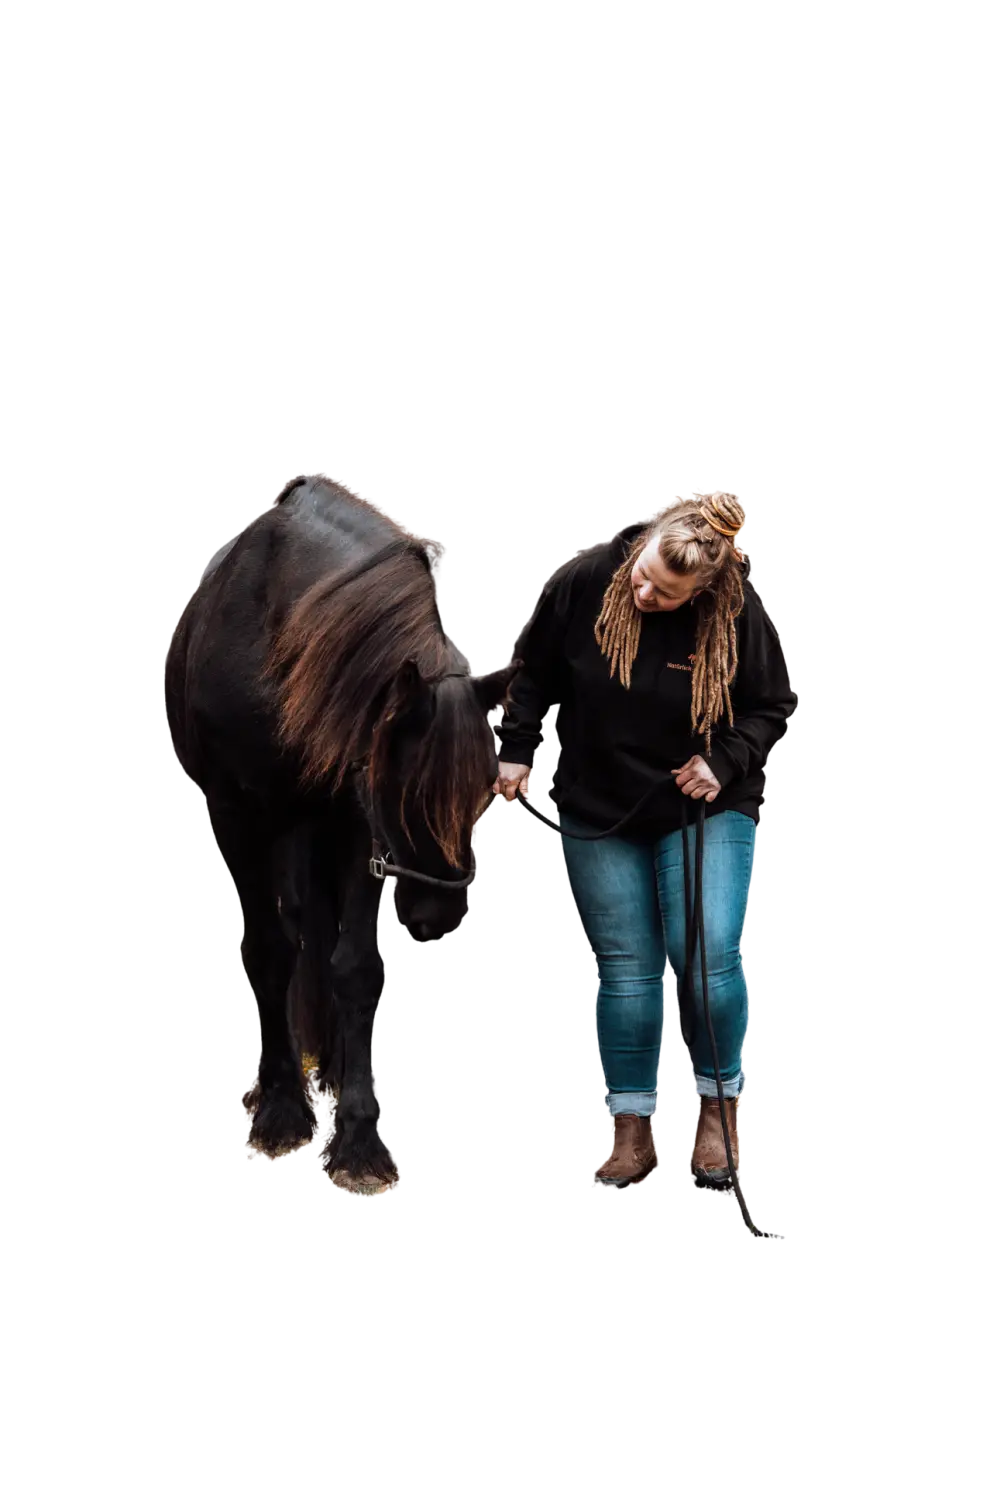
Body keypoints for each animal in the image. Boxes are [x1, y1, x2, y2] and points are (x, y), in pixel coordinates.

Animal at [162, 473, 517, 1188]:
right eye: (400, 790)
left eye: (486, 790)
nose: (438, 917)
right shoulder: (238, 816)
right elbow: (269, 953)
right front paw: (280, 1107)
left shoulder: (354, 823)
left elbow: (353, 965)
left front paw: (358, 1133)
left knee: (320, 929)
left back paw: (331, 1064)